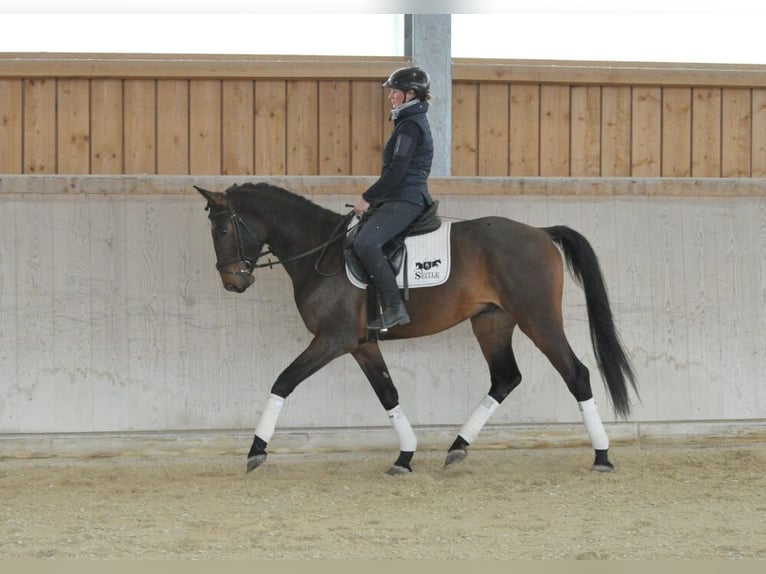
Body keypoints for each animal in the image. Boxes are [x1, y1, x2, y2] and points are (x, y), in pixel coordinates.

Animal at [195, 182, 638, 475]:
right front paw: (405, 455)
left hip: (538, 319)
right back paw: (457, 447)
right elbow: (388, 393)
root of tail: (541, 233)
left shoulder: (333, 339)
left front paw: (256, 451)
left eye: (222, 229)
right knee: (505, 378)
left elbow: (283, 381)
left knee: (576, 374)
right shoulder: (361, 344)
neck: (321, 252)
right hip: (492, 323)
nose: (232, 282)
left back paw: (602, 456)